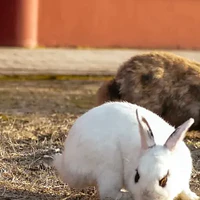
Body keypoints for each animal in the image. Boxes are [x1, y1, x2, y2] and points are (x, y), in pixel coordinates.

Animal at [52, 102, 198, 199]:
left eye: (164, 180)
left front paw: (193, 197)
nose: (147, 197)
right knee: (108, 193)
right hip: (109, 168)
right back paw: (127, 195)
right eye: (136, 176)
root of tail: (65, 164)